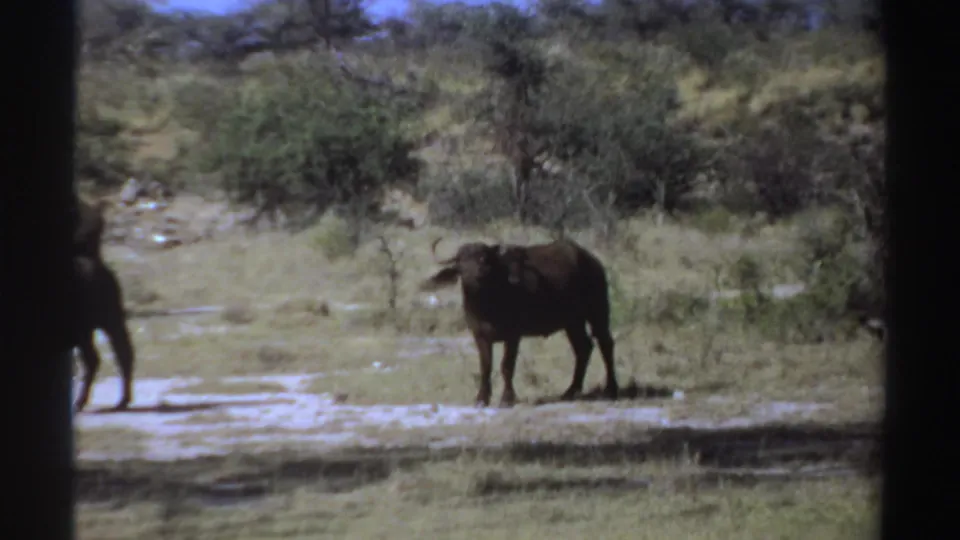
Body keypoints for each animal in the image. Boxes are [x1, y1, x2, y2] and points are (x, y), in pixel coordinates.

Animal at [420, 238, 620, 407]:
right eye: (461, 262)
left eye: (484, 258)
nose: (479, 273)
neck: (485, 306)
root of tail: (592, 260)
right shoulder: (480, 336)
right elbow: (485, 367)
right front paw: (482, 398)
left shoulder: (513, 336)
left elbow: (507, 366)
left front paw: (507, 399)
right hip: (573, 322)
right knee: (583, 348)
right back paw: (570, 391)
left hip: (598, 311)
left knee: (605, 343)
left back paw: (611, 389)